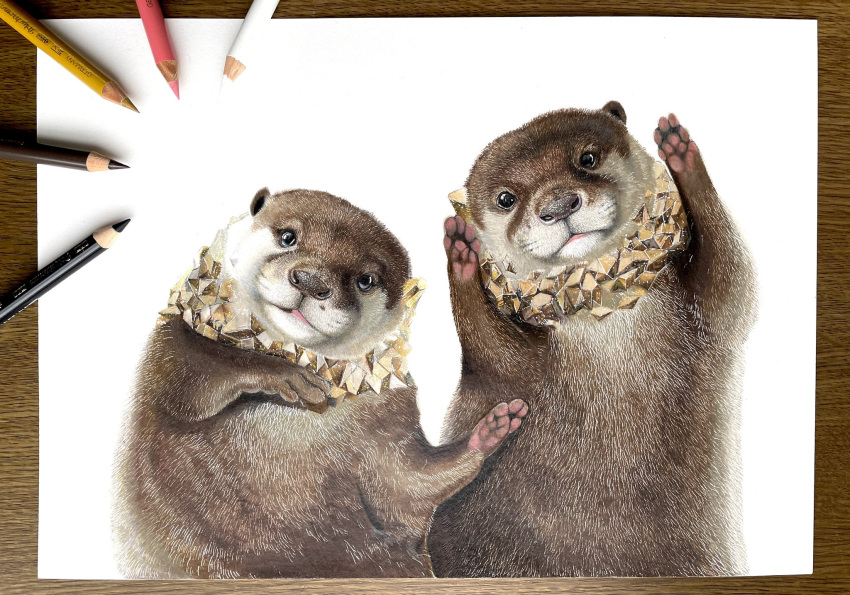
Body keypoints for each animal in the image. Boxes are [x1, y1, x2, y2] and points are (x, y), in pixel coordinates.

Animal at [113, 188, 528, 579]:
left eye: (365, 280)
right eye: (287, 237)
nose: (311, 281)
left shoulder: (389, 419)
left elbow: (405, 489)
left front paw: (492, 428)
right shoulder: (174, 337)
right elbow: (191, 374)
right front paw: (290, 377)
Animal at [428, 103, 756, 576]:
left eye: (587, 158)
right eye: (507, 198)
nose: (559, 205)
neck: (608, 317)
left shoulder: (706, 314)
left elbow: (734, 277)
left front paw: (680, 155)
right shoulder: (512, 371)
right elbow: (491, 353)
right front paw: (460, 251)